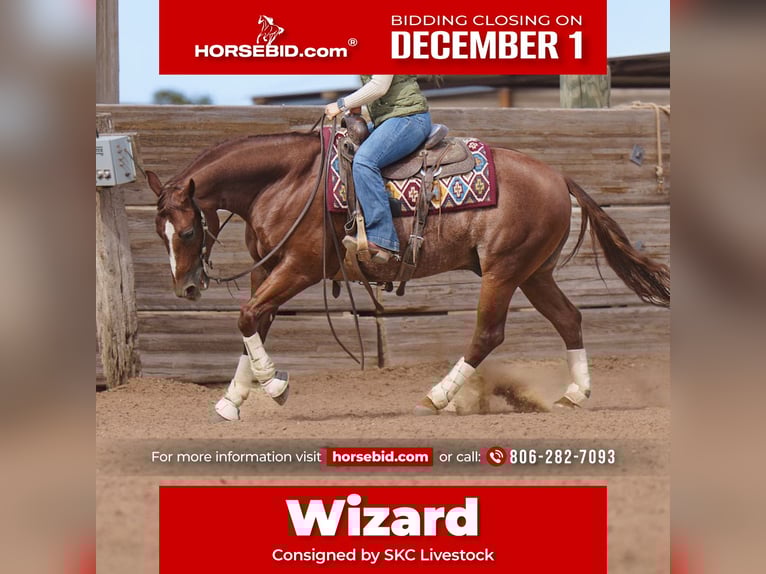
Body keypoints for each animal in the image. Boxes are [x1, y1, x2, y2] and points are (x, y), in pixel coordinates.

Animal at [146, 124, 670, 421]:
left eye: (188, 231)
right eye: (159, 231)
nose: (186, 287)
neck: (287, 182)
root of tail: (559, 177)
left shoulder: (298, 268)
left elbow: (247, 316)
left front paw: (274, 386)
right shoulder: (267, 270)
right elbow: (253, 321)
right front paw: (232, 401)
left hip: (504, 271)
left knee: (488, 334)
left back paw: (436, 398)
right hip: (534, 272)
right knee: (569, 319)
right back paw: (575, 395)